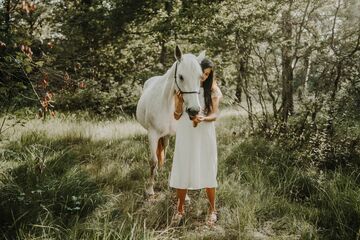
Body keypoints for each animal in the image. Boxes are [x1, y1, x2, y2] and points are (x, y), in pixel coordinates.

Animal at [136, 45, 205, 195]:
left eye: (200, 77)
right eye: (181, 77)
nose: (194, 110)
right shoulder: (152, 134)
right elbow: (153, 161)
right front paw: (150, 189)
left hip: (167, 135)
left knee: (165, 149)